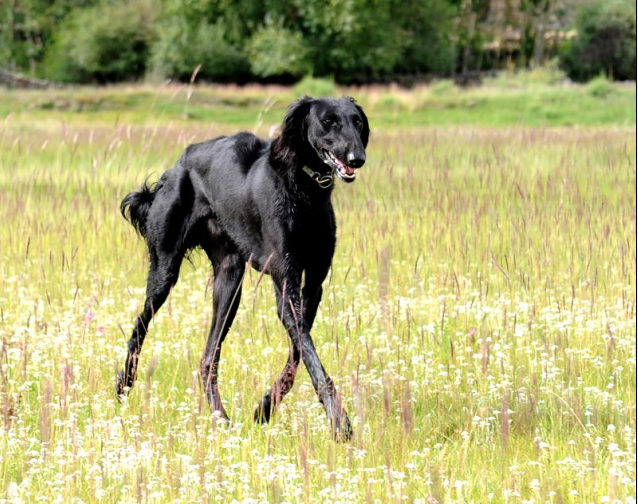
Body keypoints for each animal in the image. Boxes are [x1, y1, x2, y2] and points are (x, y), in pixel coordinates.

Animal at [118, 96, 372, 440]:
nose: (357, 159)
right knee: (139, 328)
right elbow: (309, 356)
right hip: (164, 271)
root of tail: (179, 164)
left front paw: (264, 408)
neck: (303, 187)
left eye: (357, 121)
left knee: (208, 358)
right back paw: (123, 386)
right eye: (328, 122)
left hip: (229, 281)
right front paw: (340, 423)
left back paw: (222, 421)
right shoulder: (286, 285)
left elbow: (298, 354)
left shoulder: (313, 285)